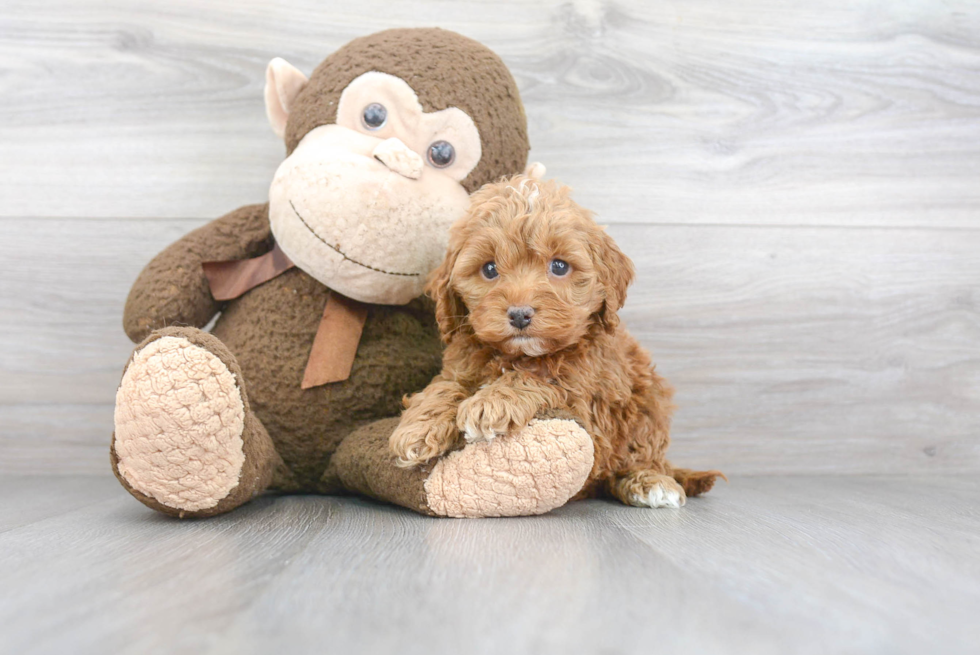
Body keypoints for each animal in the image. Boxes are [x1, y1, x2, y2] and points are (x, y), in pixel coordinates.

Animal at [388, 174, 720, 508]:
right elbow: (444, 386)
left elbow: (539, 378)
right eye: (490, 269)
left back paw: (651, 483)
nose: (520, 315)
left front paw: (491, 403)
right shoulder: (459, 366)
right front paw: (418, 428)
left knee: (640, 457)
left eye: (559, 266)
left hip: (649, 406)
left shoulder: (584, 396)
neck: (518, 355)